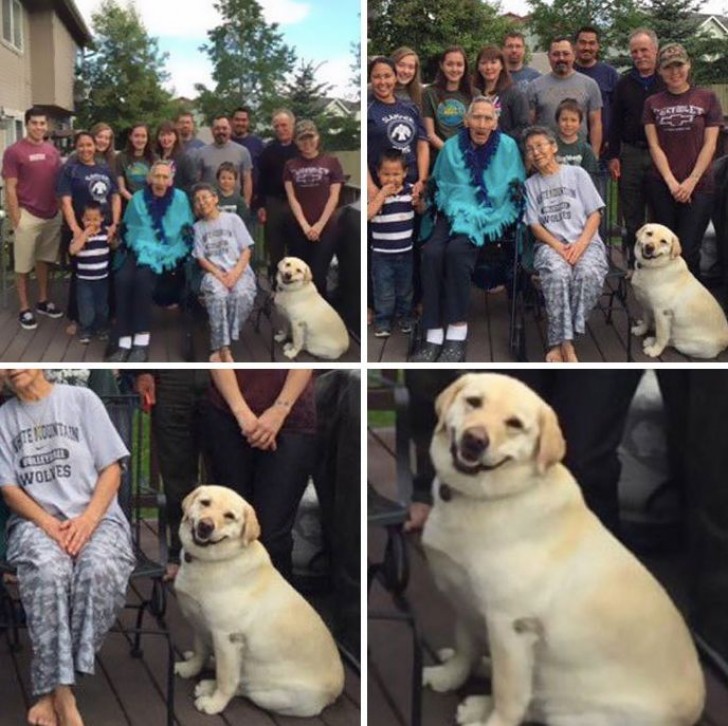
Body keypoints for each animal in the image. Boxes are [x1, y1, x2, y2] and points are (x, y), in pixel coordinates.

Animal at [173, 486, 344, 720]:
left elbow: (226, 680)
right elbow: (199, 651)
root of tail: (335, 693)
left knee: (242, 687)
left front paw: (215, 704)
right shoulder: (199, 622)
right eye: (205, 503)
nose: (205, 526)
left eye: (229, 516)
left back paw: (209, 687)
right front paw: (190, 668)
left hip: (272, 696)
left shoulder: (226, 638)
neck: (214, 561)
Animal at [420, 376, 704, 726]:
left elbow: (508, 695)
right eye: (474, 402)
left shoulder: (510, 626)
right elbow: (465, 648)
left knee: (531, 704)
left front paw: (493, 717)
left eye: (514, 424)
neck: (488, 498)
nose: (475, 440)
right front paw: (449, 676)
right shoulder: (464, 599)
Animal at [632, 222, 728, 358]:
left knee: (671, 340)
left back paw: (651, 341)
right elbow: (646, 319)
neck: (655, 267)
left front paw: (655, 350)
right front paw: (641, 330)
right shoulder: (645, 303)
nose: (649, 247)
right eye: (649, 233)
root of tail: (725, 341)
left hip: (686, 345)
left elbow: (662, 336)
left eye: (663, 241)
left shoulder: (662, 313)